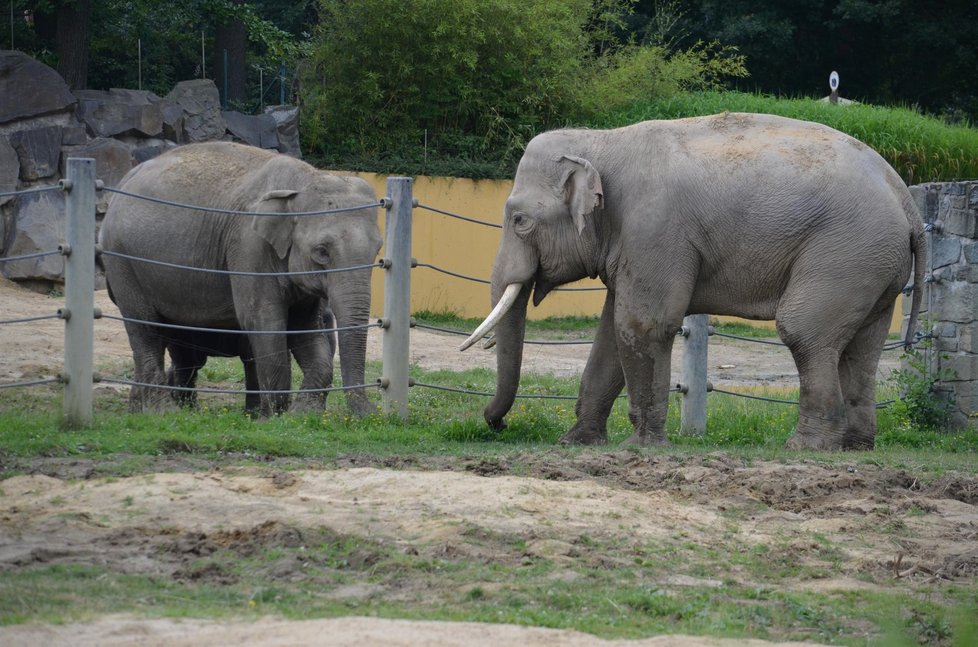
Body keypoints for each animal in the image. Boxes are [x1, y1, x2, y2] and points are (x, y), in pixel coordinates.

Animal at [462, 112, 928, 450]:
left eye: (519, 220)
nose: (497, 425)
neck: (602, 141)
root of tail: (907, 201)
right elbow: (612, 334)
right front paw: (575, 443)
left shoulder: (654, 230)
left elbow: (643, 325)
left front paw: (641, 447)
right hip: (875, 266)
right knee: (861, 349)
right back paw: (855, 447)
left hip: (846, 251)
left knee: (805, 333)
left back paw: (804, 448)